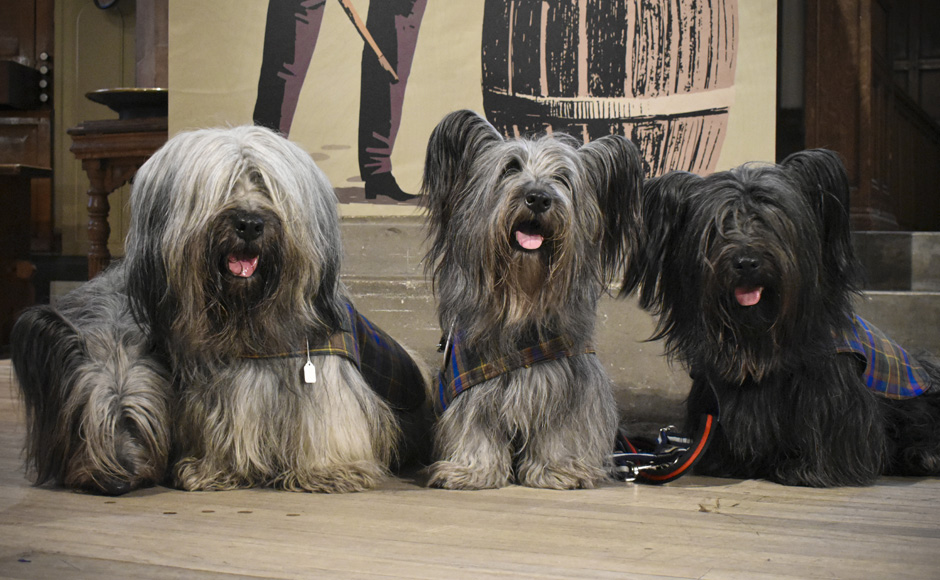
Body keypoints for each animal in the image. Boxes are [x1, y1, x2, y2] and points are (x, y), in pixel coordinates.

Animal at [11, 125, 430, 494]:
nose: (249, 223)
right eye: (223, 187)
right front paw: (212, 470)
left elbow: (326, 420)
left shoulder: (324, 375)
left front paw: (329, 471)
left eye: (264, 184)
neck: (250, 325)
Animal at [422, 110, 644, 490]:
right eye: (510, 168)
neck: (522, 303)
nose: (539, 198)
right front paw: (471, 470)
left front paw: (559, 468)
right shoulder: (472, 387)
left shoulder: (569, 383)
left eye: (563, 178)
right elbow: (473, 425)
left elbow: (561, 428)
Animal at [624, 148, 940, 484]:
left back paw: (924, 456)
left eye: (770, 221)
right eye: (719, 227)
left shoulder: (830, 387)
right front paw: (726, 463)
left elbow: (828, 426)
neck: (760, 335)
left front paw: (811, 470)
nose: (746, 262)